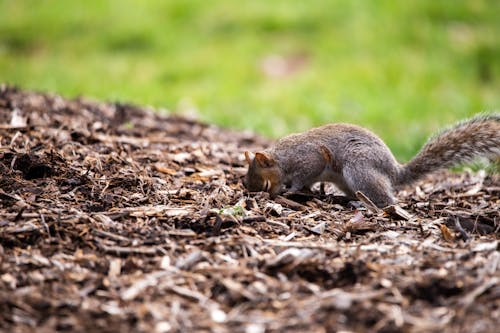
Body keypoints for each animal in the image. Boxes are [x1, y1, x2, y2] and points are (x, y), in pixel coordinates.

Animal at [243, 114, 500, 208]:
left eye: (266, 183)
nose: (267, 197)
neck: (282, 158)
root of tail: (394, 171)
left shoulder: (309, 159)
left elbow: (303, 178)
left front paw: (291, 190)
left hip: (359, 169)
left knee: (387, 201)